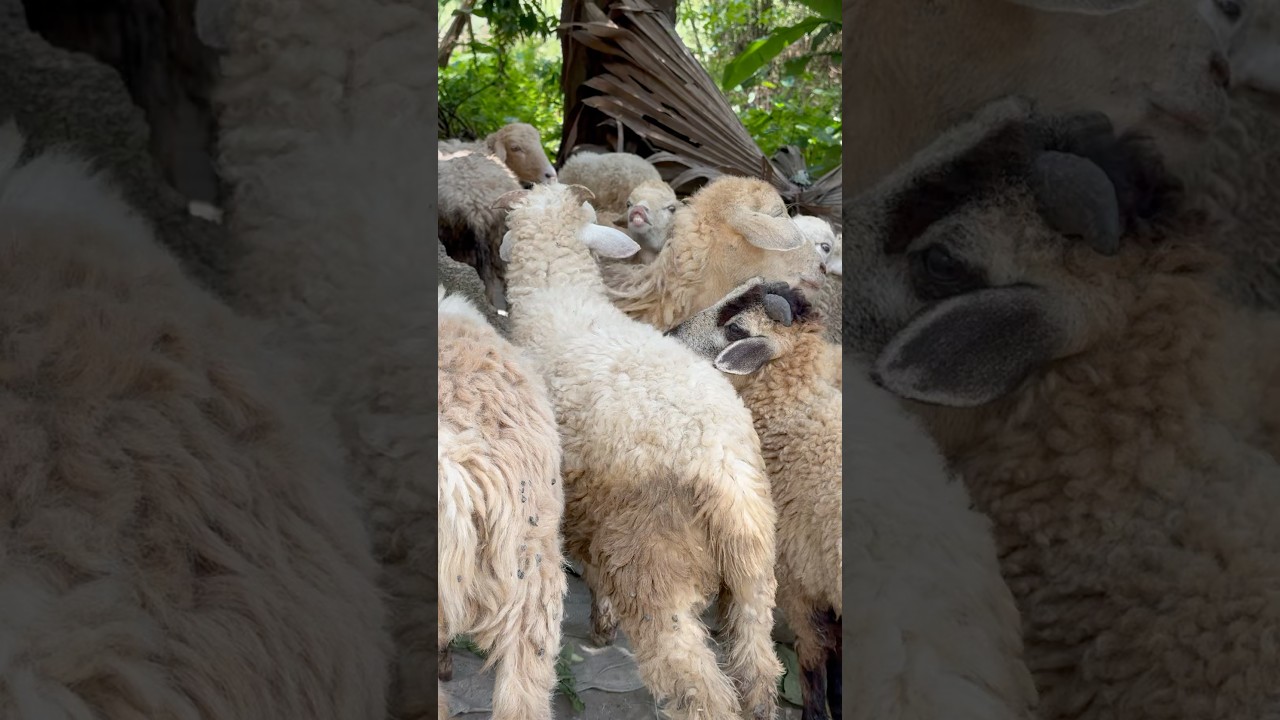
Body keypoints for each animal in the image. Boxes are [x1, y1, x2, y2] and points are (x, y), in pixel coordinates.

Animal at [496, 181, 784, 720]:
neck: (560, 298)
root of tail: (722, 469)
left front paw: (600, 627)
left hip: (653, 561)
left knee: (698, 682)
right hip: (754, 564)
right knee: (757, 663)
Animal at [669, 278, 1040, 720]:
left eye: (736, 329)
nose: (670, 334)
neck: (797, 400)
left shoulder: (800, 581)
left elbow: (814, 658)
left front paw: (815, 711)